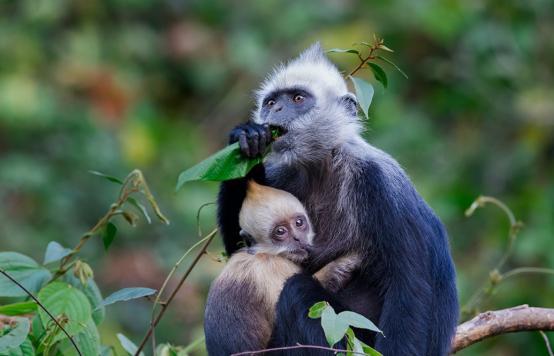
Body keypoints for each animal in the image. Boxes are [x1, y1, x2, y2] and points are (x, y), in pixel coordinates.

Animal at [203, 181, 358, 356]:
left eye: (299, 223)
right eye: (280, 232)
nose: (298, 239)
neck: (262, 252)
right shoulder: (273, 266)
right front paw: (338, 267)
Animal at [217, 43, 458, 354]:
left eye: (297, 98)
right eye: (270, 103)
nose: (277, 109)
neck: (322, 166)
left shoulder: (380, 184)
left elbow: (409, 285)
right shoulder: (283, 174)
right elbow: (239, 248)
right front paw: (246, 137)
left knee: (298, 290)